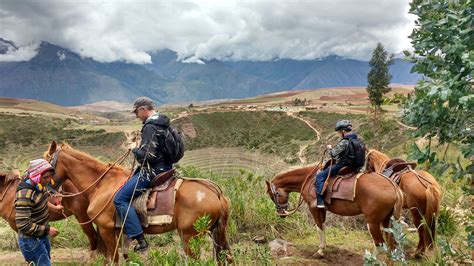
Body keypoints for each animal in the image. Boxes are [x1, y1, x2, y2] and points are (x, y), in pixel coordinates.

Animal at [43, 141, 232, 264]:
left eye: (46, 162)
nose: (44, 190)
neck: (101, 184)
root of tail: (216, 193)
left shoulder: (106, 229)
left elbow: (113, 259)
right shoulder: (119, 231)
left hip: (190, 236)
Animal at [264, 164, 402, 258]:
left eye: (272, 195)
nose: (281, 214)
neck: (308, 179)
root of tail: (394, 186)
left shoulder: (314, 209)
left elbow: (319, 228)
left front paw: (320, 251)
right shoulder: (322, 209)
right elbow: (323, 226)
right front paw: (324, 248)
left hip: (372, 223)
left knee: (380, 243)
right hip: (386, 221)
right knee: (391, 244)